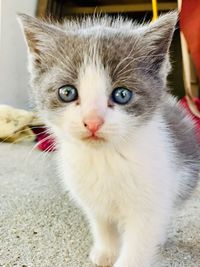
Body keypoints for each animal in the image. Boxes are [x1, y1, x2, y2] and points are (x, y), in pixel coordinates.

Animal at [18, 13, 198, 267]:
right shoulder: (91, 197)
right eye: (67, 92)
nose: (93, 121)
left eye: (122, 95)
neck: (105, 158)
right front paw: (106, 252)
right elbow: (102, 224)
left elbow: (141, 238)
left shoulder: (152, 198)